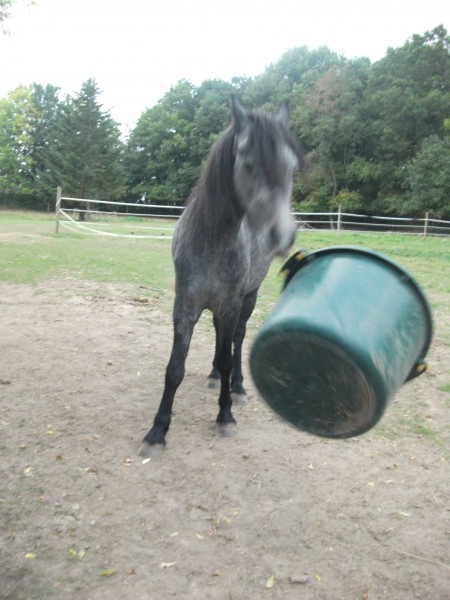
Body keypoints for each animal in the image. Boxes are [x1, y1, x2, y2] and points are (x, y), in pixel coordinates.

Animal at [139, 96, 304, 458]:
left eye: (291, 167)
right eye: (248, 163)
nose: (283, 235)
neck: (212, 240)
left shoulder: (231, 304)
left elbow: (230, 357)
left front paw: (225, 415)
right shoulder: (185, 306)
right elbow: (175, 367)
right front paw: (157, 431)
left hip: (248, 297)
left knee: (237, 340)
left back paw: (237, 388)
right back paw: (214, 375)